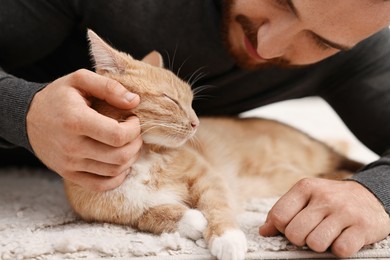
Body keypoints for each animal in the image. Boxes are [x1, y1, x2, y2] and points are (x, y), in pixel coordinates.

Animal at [63, 31, 362, 260]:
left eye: (191, 101)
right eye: (171, 100)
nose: (196, 123)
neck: (144, 158)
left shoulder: (209, 177)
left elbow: (217, 205)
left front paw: (227, 238)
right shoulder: (109, 212)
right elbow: (149, 214)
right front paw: (191, 220)